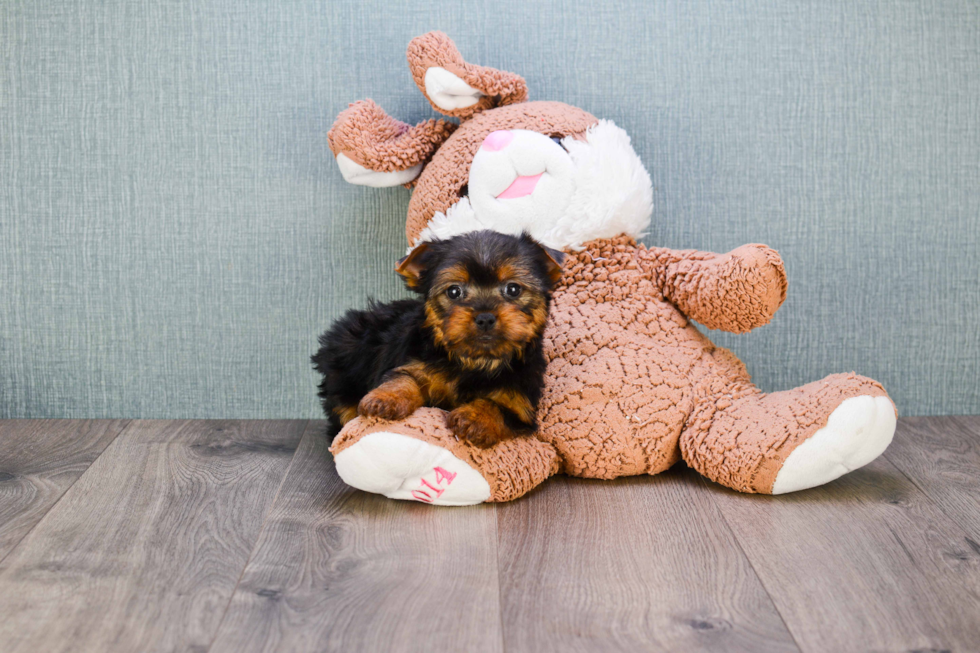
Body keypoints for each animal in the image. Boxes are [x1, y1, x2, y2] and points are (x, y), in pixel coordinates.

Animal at [310, 230, 564, 448]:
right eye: (454, 291)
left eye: (513, 289)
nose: (485, 317)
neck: (474, 362)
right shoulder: (416, 363)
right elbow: (404, 378)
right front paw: (386, 398)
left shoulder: (520, 404)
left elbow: (497, 406)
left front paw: (474, 418)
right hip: (345, 361)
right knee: (341, 404)